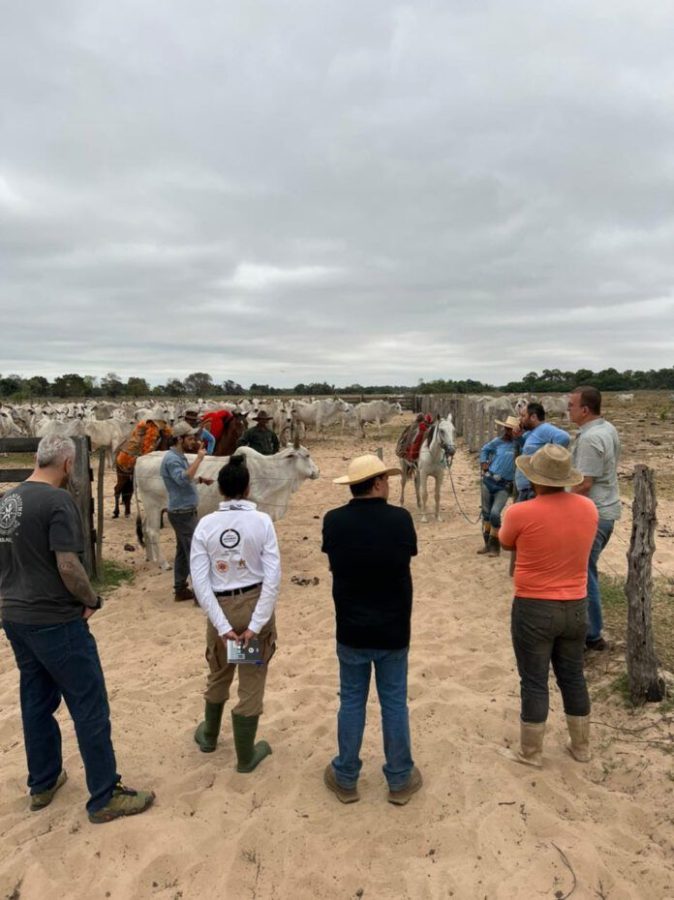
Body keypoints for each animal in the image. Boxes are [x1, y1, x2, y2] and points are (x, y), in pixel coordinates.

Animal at [135, 444, 320, 568]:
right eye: (307, 455)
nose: (317, 471)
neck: (270, 472)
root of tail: (140, 459)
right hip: (153, 507)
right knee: (152, 531)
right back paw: (163, 563)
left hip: (150, 509)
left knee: (144, 528)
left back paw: (150, 558)